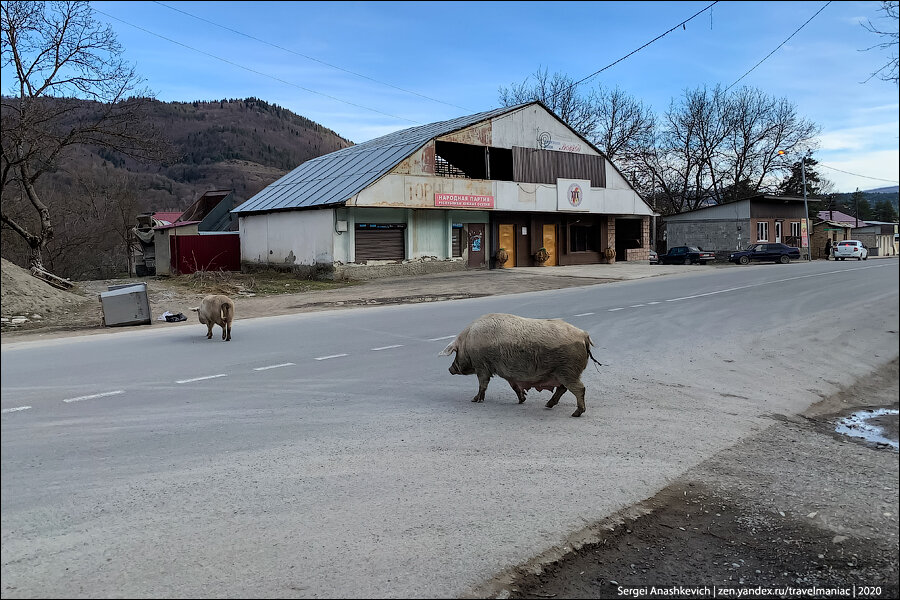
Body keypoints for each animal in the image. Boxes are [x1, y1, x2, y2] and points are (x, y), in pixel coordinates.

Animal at [440, 314, 600, 418]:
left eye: (456, 352)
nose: (450, 369)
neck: (468, 342)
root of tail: (584, 335)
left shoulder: (482, 366)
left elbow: (483, 384)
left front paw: (474, 400)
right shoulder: (509, 374)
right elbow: (515, 387)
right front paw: (521, 400)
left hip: (567, 370)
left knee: (579, 388)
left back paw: (575, 413)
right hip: (562, 372)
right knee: (563, 389)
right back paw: (548, 405)